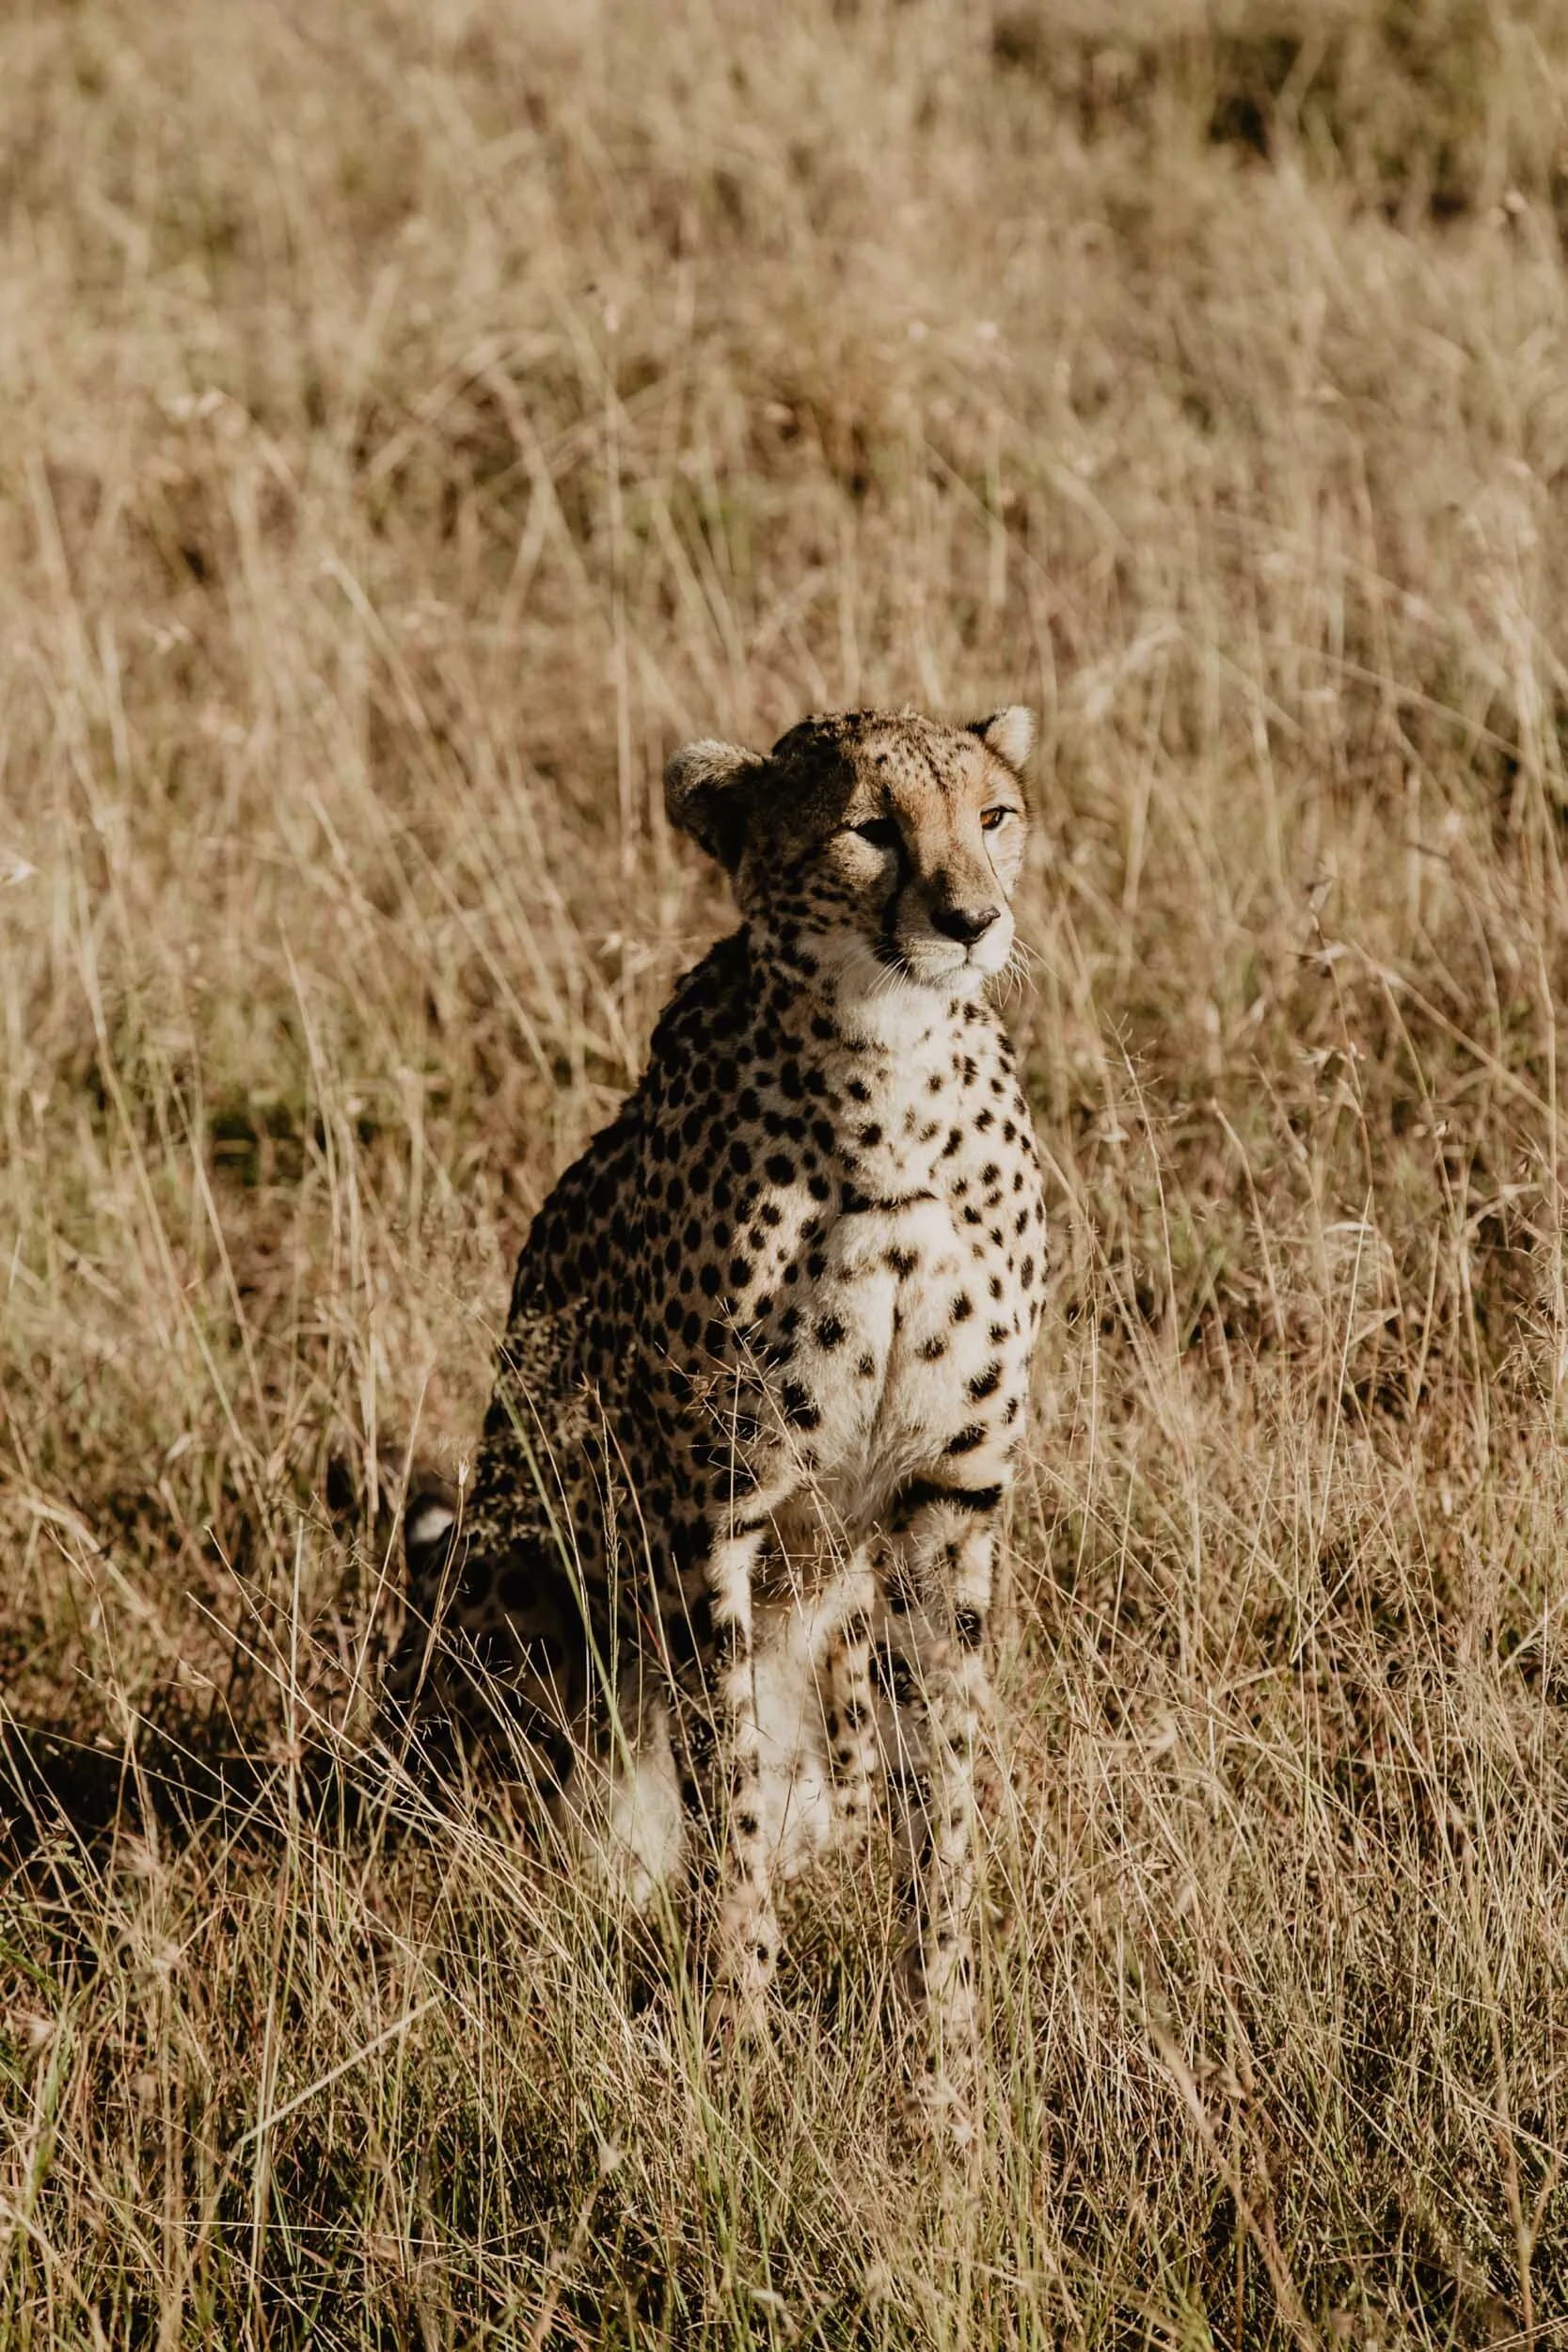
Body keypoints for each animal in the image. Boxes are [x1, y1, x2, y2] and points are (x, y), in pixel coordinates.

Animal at [383, 702, 1046, 2098]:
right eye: (869, 828)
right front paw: (736, 2030)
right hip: (512, 1579)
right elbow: (722, 1775)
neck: (890, 1081)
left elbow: (941, 1796)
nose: (970, 920)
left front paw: (944, 2061)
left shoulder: (945, 1502)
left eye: (993, 816)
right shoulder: (711, 1507)